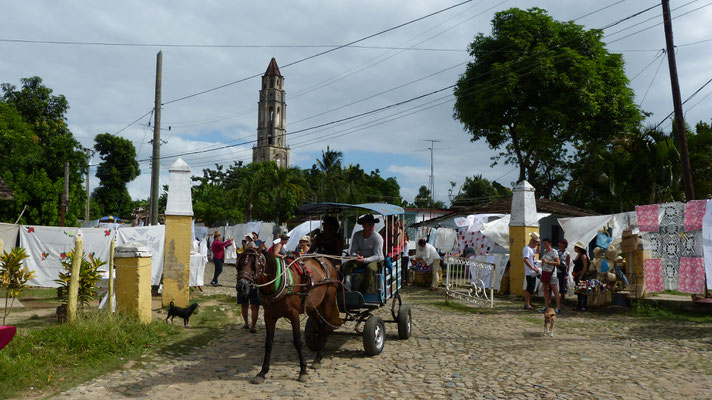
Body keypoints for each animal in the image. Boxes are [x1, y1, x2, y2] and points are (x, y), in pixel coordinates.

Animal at [236, 248, 342, 382]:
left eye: (254, 265)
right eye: (238, 265)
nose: (242, 287)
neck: (280, 281)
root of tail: (327, 261)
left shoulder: (294, 314)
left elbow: (297, 342)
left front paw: (303, 371)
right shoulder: (269, 316)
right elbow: (268, 343)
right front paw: (262, 372)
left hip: (328, 301)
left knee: (325, 327)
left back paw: (318, 358)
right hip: (313, 306)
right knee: (321, 325)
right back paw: (318, 356)